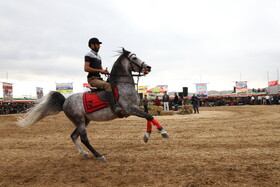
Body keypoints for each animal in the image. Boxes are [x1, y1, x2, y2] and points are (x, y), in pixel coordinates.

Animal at [18, 48, 171, 162]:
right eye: (134, 58)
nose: (148, 67)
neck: (122, 85)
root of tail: (65, 101)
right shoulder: (129, 109)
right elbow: (149, 116)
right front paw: (161, 132)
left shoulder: (134, 108)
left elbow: (148, 114)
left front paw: (148, 135)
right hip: (80, 120)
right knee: (84, 138)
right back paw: (99, 155)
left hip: (85, 120)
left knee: (73, 136)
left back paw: (85, 154)